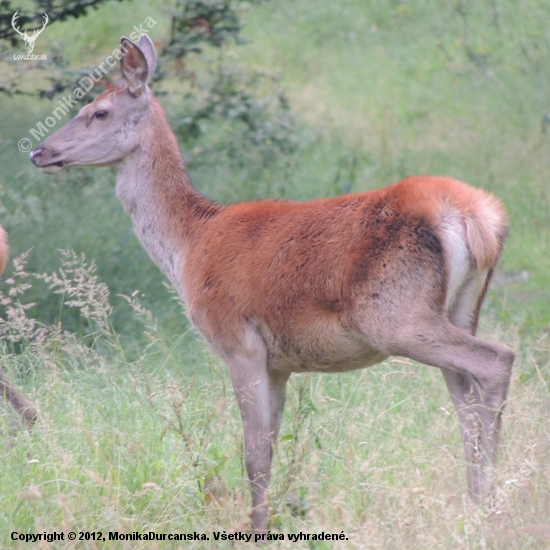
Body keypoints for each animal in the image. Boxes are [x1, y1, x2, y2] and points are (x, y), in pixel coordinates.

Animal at [29, 34, 512, 536]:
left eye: (99, 111)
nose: (39, 152)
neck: (190, 245)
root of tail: (478, 218)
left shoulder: (237, 340)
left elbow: (254, 457)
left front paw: (255, 531)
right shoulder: (280, 362)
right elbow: (272, 448)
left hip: (395, 314)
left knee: (497, 359)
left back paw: (489, 504)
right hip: (460, 308)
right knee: (465, 398)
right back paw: (476, 502)